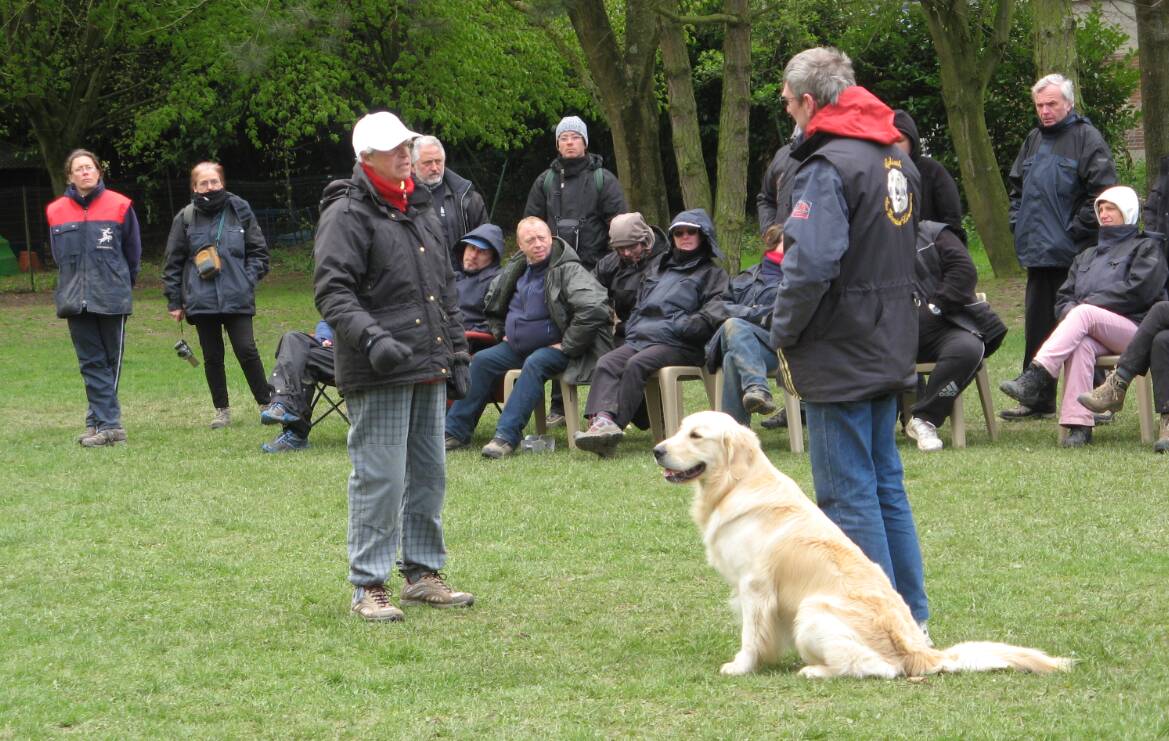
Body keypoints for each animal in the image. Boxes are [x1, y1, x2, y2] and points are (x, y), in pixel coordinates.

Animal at [654, 406, 1070, 677]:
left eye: (696, 436)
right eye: (679, 429)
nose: (658, 450)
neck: (735, 484)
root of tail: (924, 654)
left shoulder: (754, 585)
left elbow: (751, 633)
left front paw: (741, 665)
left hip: (812, 612)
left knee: (880, 669)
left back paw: (815, 671)